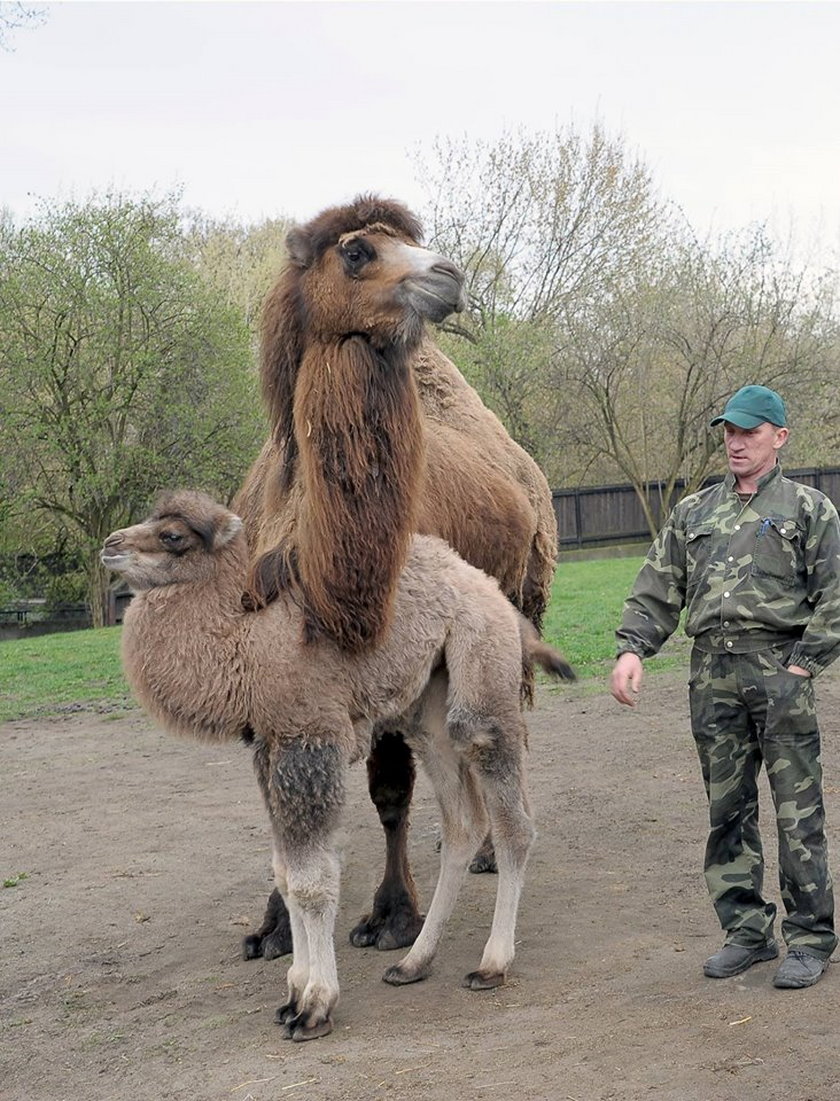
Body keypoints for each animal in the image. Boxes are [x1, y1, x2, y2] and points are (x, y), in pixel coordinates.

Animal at [101, 491, 576, 1039]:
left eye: (173, 535)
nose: (110, 544)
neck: (244, 637)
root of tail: (496, 596)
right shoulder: (270, 748)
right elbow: (286, 872)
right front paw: (292, 992)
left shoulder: (310, 738)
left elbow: (312, 879)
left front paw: (315, 1004)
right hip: (428, 711)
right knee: (462, 823)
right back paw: (413, 962)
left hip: (481, 684)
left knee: (511, 820)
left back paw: (492, 964)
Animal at [233, 198, 559, 964]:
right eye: (356, 251)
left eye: (409, 242)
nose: (448, 274)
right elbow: (275, 801)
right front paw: (270, 927)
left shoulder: (390, 657)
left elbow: (387, 792)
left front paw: (391, 917)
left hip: (521, 601)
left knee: (506, 722)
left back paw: (487, 851)